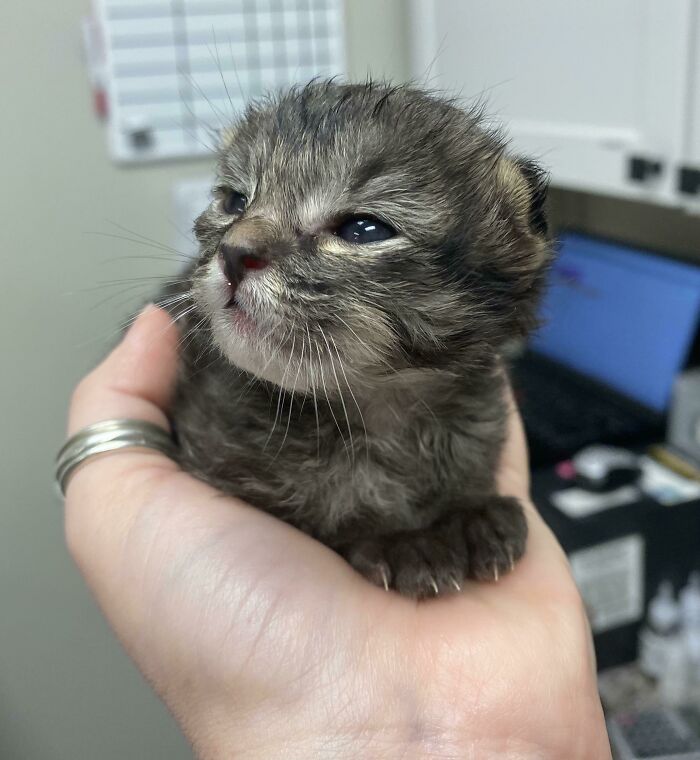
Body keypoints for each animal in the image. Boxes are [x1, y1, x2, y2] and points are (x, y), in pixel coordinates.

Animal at [164, 80, 552, 596]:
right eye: (234, 202)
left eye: (364, 230)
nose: (234, 251)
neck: (377, 407)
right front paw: (397, 538)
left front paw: (470, 510)